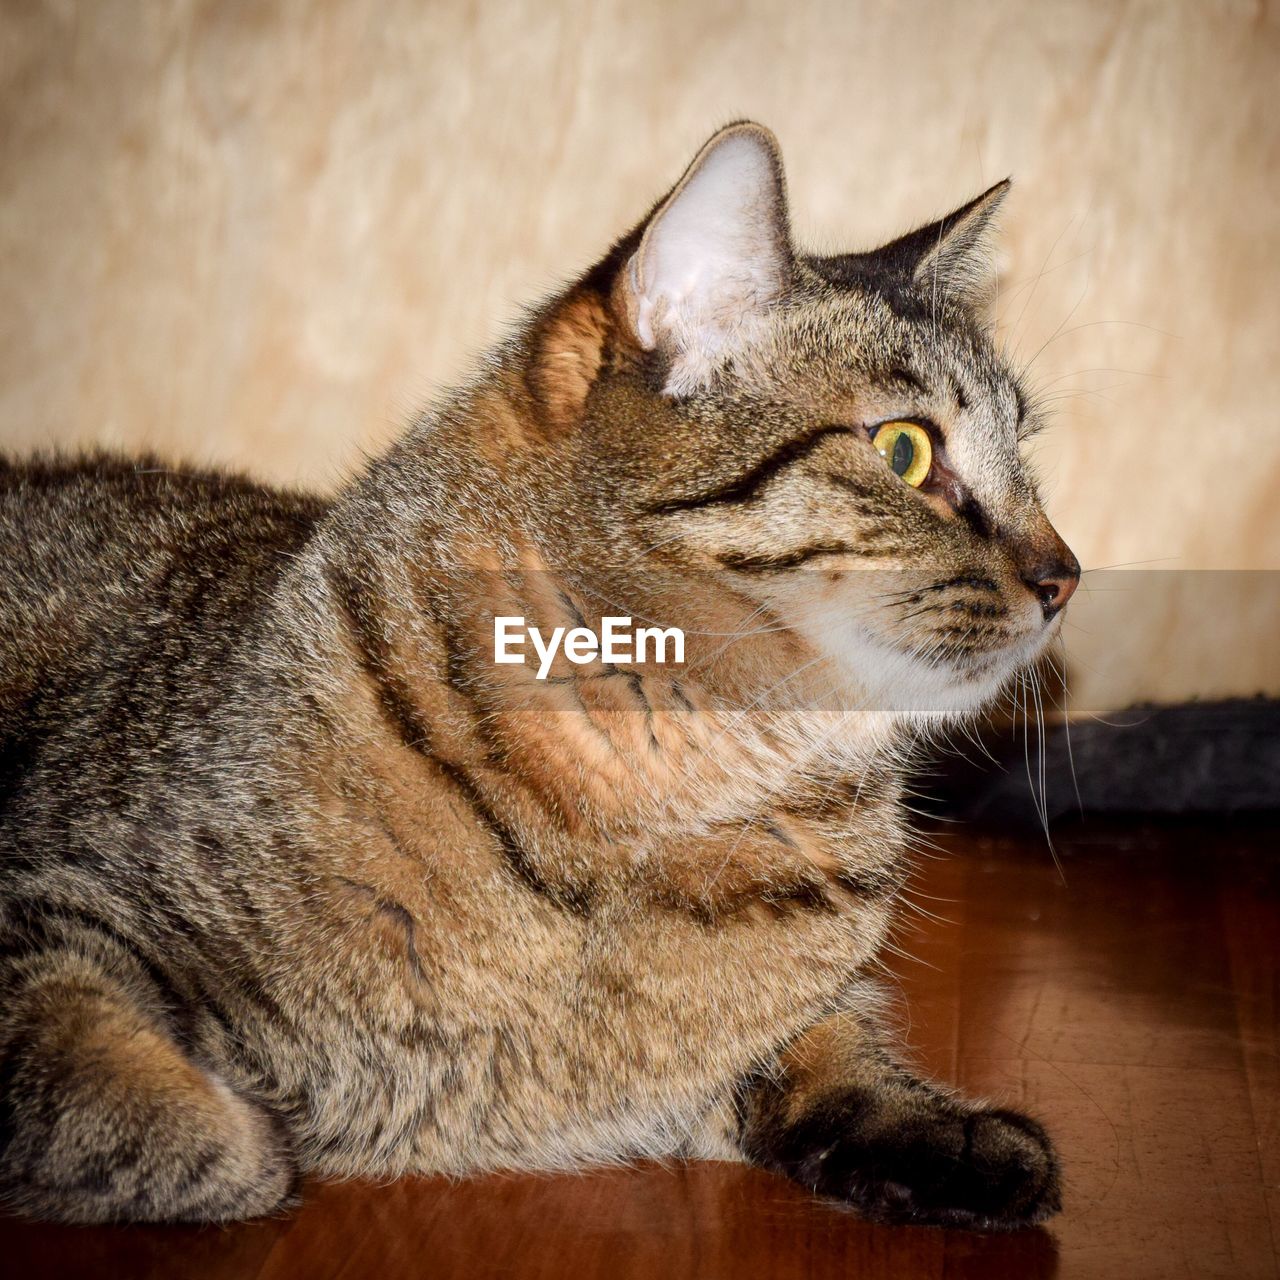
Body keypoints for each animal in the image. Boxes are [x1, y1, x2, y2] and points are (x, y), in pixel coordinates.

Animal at [0, 122, 1080, 1228]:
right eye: (905, 450)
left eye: (1025, 458)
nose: (1066, 576)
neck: (666, 788)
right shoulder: (62, 890)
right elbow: (105, 1069)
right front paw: (245, 1139)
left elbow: (834, 1045)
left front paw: (945, 1132)